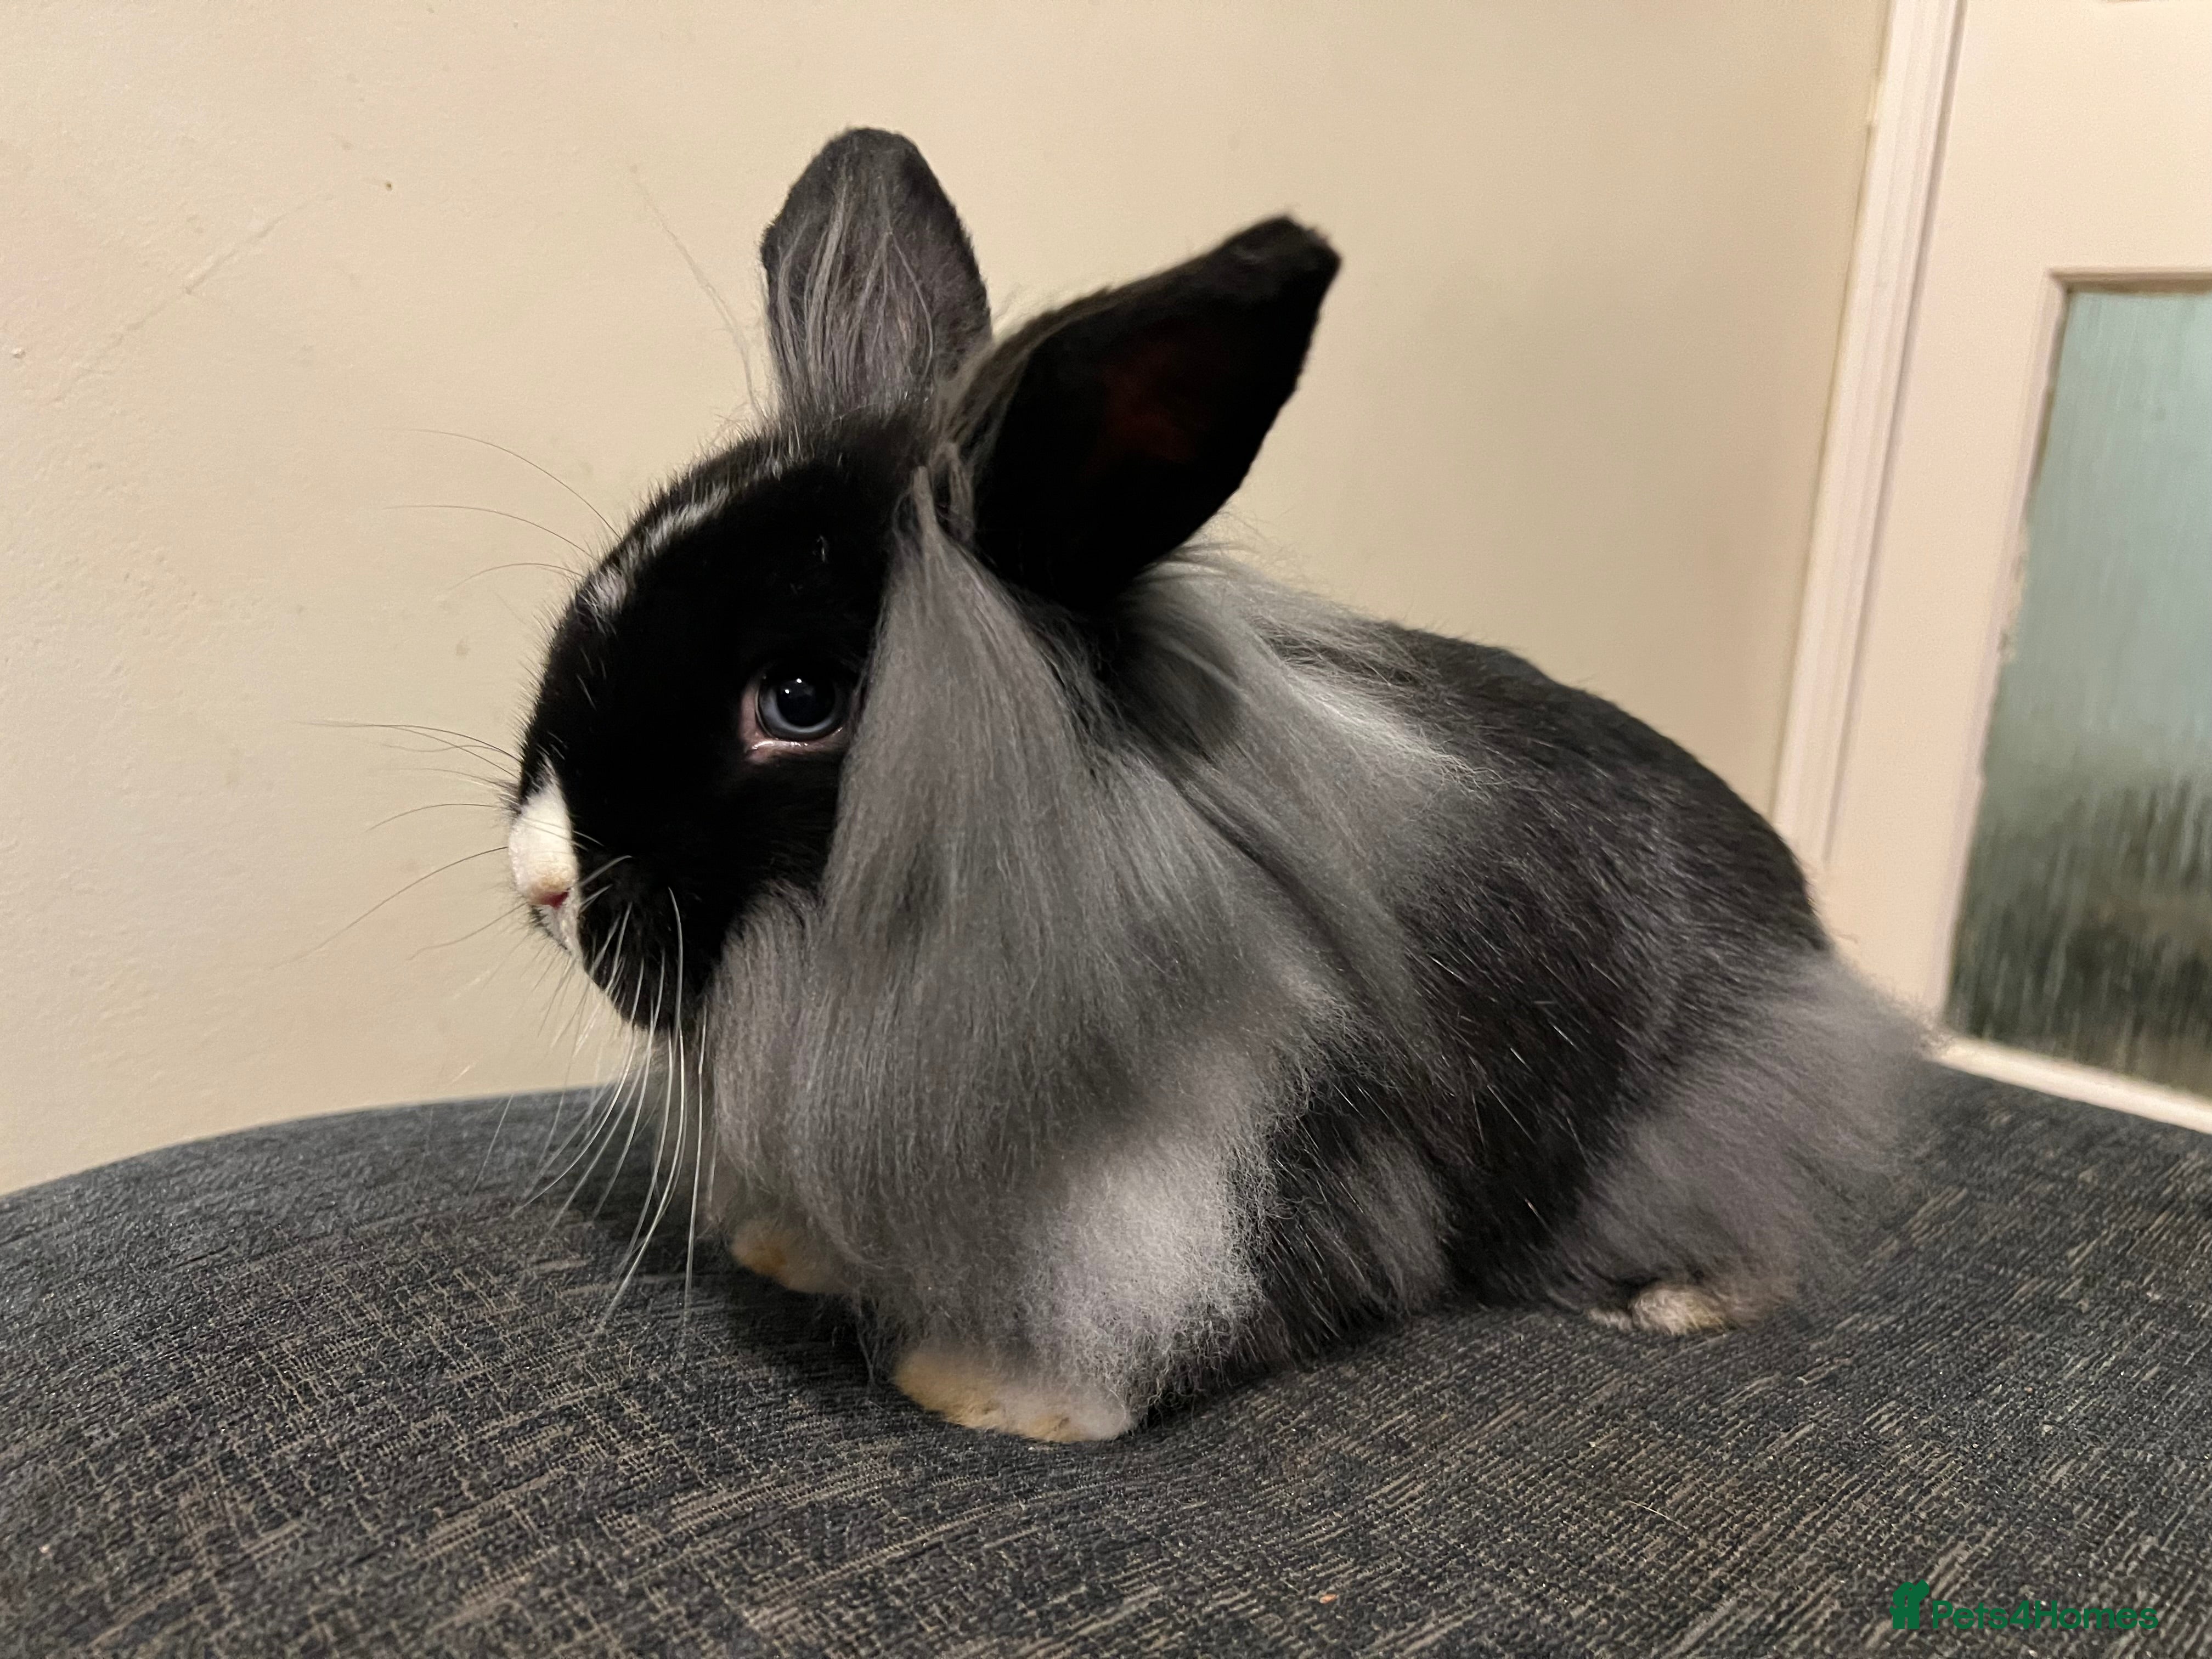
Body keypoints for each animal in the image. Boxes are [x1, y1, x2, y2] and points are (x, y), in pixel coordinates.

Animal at [504, 128, 1919, 1443]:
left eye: (800, 702)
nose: (543, 883)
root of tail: (1802, 919)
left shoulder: (1232, 1178)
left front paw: (996, 1394)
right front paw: (788, 1251)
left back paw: (1676, 1301)